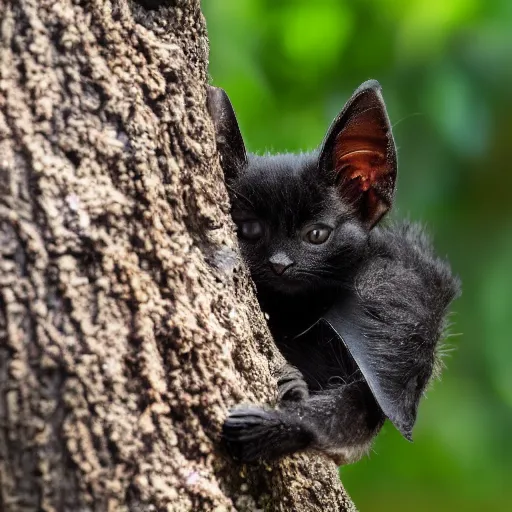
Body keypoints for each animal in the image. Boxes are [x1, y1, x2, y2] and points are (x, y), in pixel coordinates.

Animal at [208, 80, 460, 464]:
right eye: (248, 230)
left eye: (317, 235)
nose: (280, 263)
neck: (297, 314)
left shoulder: (402, 302)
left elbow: (348, 414)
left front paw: (277, 416)